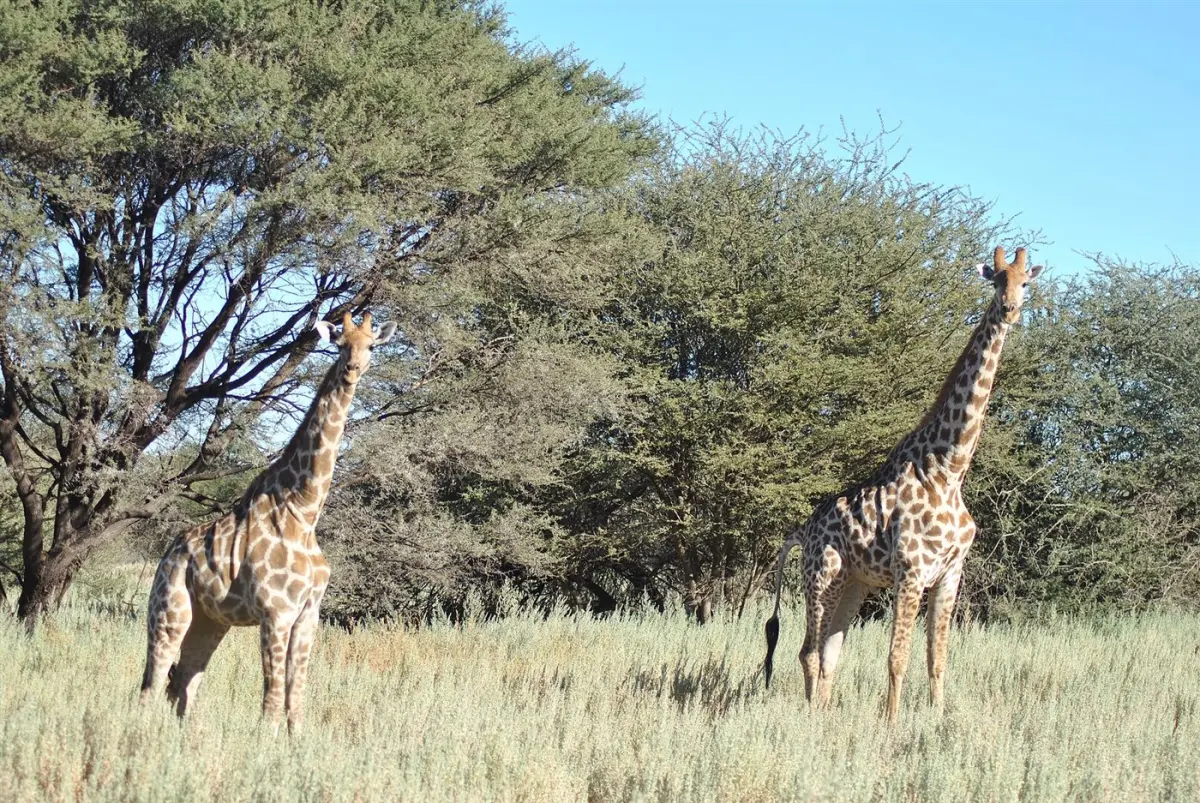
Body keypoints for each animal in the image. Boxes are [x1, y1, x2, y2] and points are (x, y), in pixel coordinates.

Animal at [139, 312, 395, 734]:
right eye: (340, 343)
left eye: (371, 344)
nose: (353, 370)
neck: (304, 512)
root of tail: (167, 554)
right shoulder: (276, 613)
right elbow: (271, 703)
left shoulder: (308, 615)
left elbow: (296, 701)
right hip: (170, 609)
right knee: (152, 681)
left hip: (211, 620)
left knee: (186, 680)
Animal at [763, 246, 1043, 722]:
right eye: (996, 280)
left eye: (1025, 283)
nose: (1009, 310)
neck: (949, 469)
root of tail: (801, 530)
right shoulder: (911, 571)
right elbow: (898, 658)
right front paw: (891, 724)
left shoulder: (950, 574)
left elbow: (937, 657)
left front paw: (937, 718)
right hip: (822, 575)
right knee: (809, 651)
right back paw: (812, 718)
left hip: (854, 584)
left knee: (830, 652)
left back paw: (826, 714)